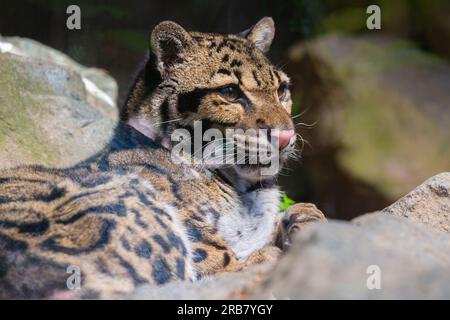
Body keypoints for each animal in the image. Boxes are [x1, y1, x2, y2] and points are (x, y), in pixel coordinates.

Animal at [0, 16, 326, 298]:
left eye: (282, 90)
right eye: (230, 92)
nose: (285, 135)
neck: (244, 189)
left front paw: (304, 219)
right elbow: (226, 262)